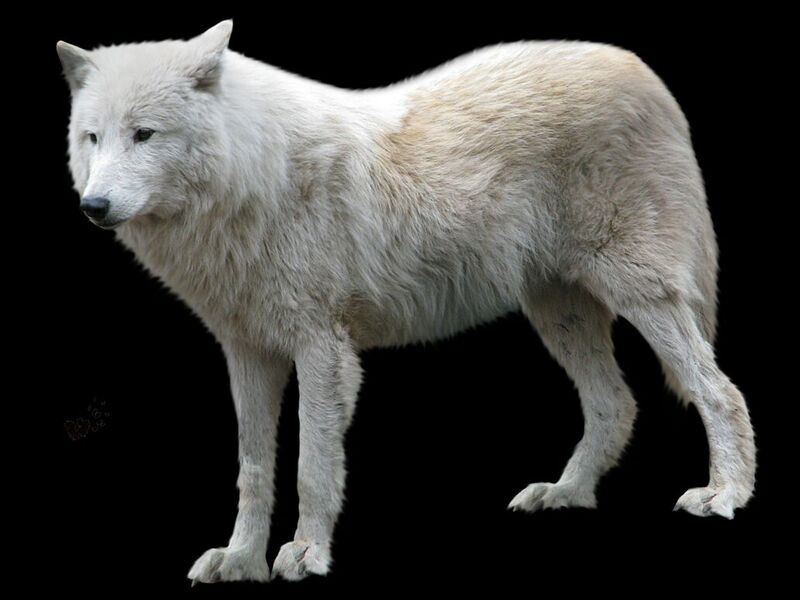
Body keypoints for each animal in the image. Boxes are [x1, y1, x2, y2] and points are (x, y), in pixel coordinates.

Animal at [58, 21, 756, 583]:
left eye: (145, 134)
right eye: (93, 137)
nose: (94, 207)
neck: (253, 179)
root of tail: (638, 67)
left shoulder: (321, 348)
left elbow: (312, 466)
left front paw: (305, 554)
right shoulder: (248, 352)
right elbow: (253, 470)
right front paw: (241, 561)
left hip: (639, 294)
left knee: (719, 392)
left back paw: (723, 494)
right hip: (557, 311)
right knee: (616, 404)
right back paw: (565, 492)